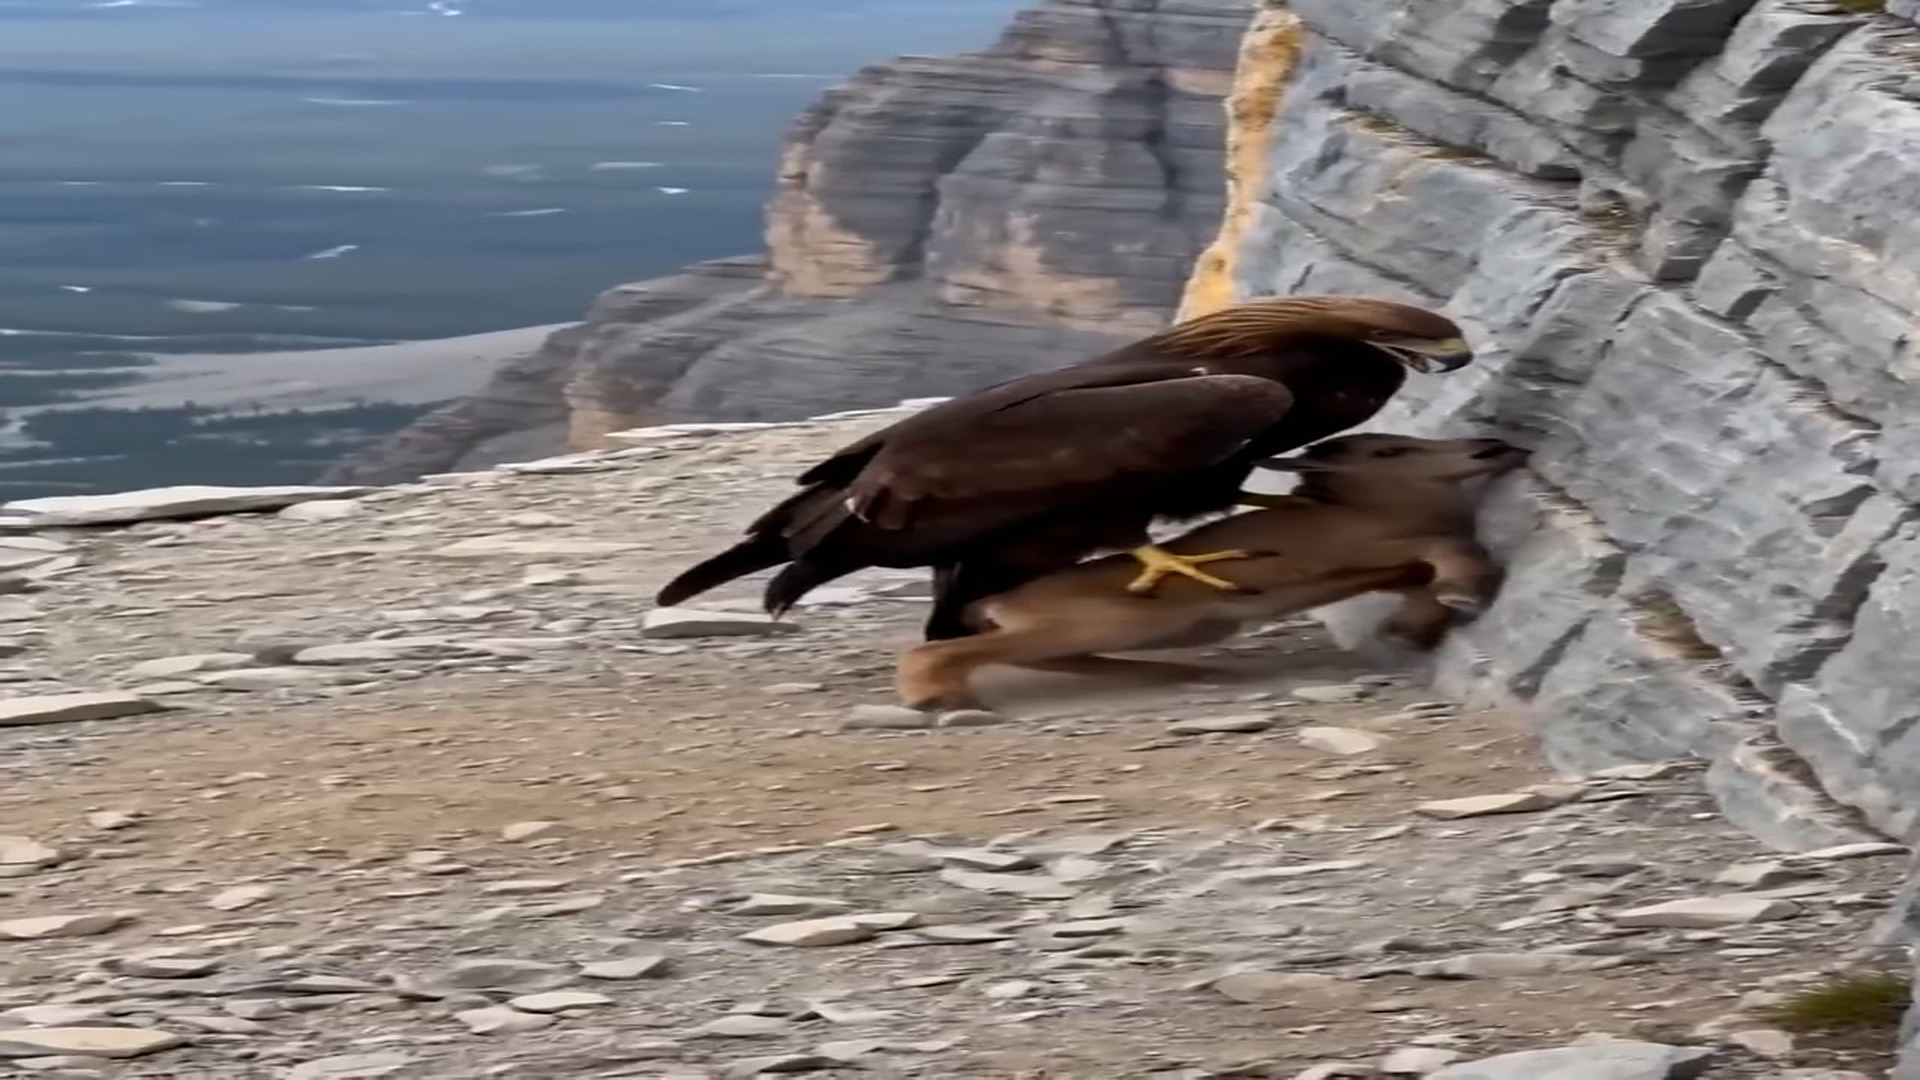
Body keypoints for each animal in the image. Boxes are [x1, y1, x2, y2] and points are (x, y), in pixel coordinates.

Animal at [893, 433, 1529, 712]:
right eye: (1389, 451)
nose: (1493, 445)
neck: (1365, 509)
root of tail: (996, 601)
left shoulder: (1389, 565)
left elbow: (1422, 579)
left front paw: (1413, 628)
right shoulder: (1357, 551)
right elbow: (1447, 551)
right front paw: (1463, 595)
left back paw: (1191, 673)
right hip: (1104, 623)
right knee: (941, 651)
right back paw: (938, 698)